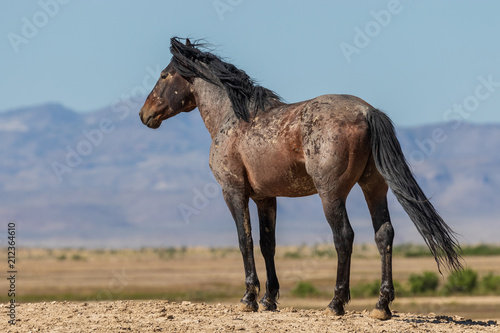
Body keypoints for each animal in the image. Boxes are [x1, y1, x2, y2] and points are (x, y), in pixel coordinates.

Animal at [140, 37, 460, 320]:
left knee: (344, 237)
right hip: (374, 188)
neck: (232, 118)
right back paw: (381, 306)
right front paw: (269, 300)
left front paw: (249, 298)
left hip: (331, 195)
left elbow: (245, 240)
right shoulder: (265, 198)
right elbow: (267, 243)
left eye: (164, 75)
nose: (145, 115)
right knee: (384, 235)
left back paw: (336, 304)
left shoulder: (233, 192)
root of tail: (367, 111)